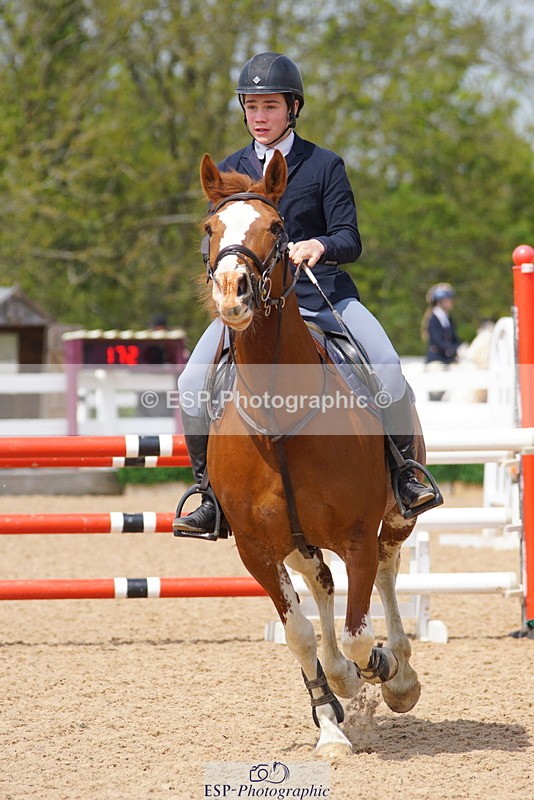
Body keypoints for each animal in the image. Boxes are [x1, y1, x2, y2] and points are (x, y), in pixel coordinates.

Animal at [199, 150, 423, 757]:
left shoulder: (357, 536)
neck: (280, 418)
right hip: (297, 543)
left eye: (278, 228)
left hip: (396, 519)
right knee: (319, 583)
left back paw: (400, 672)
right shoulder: (255, 549)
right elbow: (301, 636)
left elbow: (359, 634)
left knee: (388, 570)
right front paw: (331, 724)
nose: (232, 292)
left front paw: (382, 671)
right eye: (209, 228)